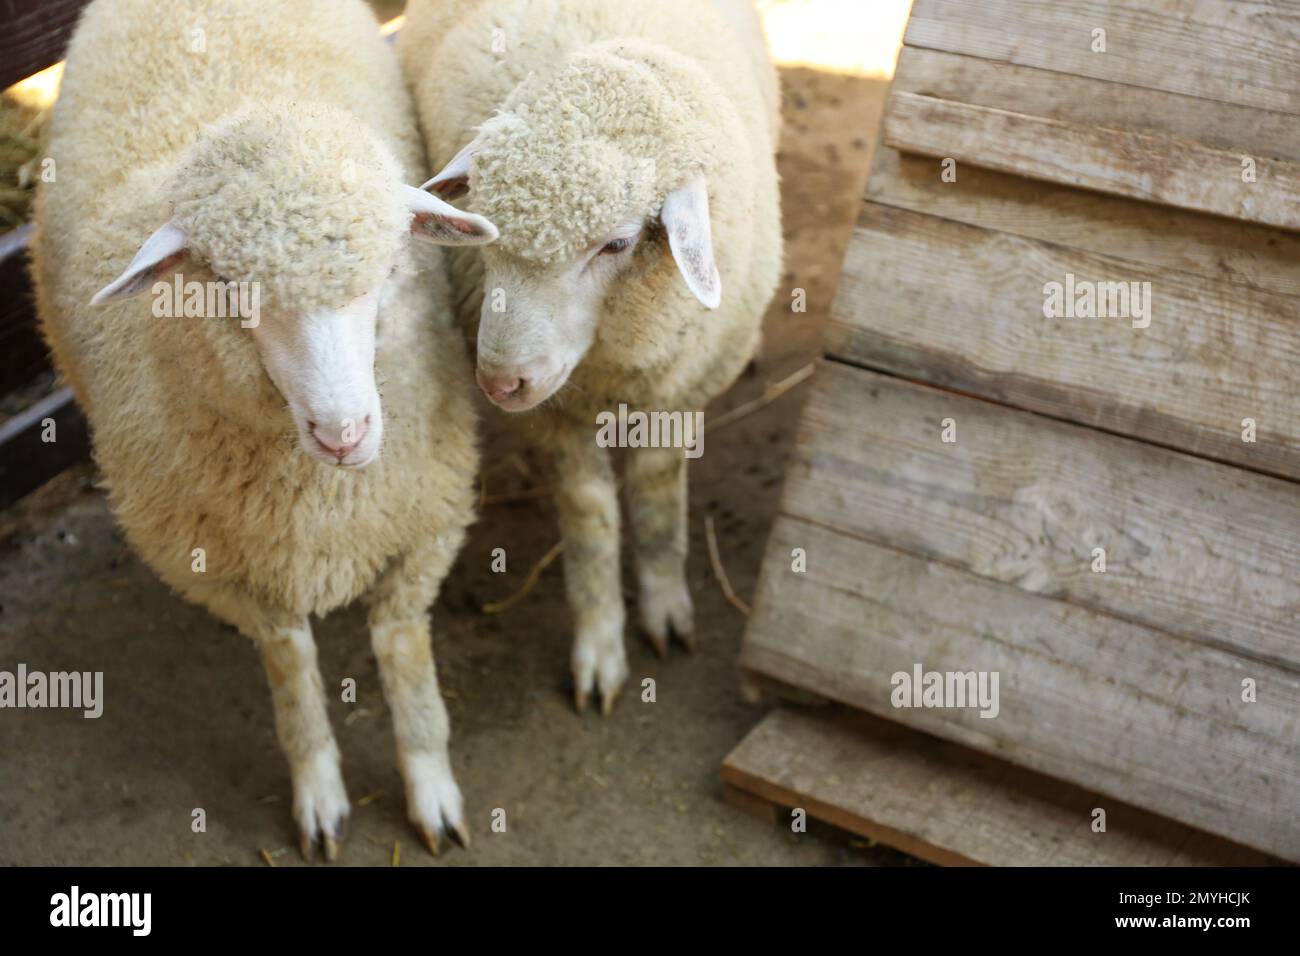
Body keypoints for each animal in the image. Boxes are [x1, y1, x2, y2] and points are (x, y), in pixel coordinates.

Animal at [31, 0, 498, 859]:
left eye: (391, 268)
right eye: (228, 290)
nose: (345, 433)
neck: (324, 499)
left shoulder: (422, 523)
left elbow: (403, 649)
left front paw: (431, 786)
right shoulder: (232, 569)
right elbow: (290, 665)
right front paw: (319, 793)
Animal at [398, 0, 783, 713]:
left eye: (618, 243)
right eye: (483, 227)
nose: (501, 383)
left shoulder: (678, 385)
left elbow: (657, 489)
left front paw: (665, 608)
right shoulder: (556, 414)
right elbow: (589, 511)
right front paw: (601, 644)